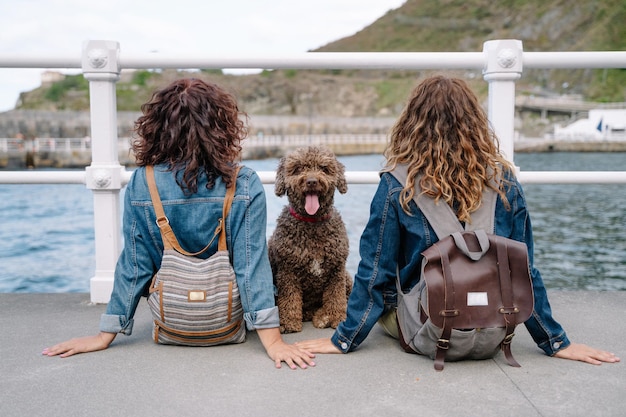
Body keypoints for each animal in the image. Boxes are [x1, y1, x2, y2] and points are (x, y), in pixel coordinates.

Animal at [266, 145, 352, 334]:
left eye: (323, 168)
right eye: (298, 169)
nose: (312, 181)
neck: (312, 223)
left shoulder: (337, 270)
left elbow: (336, 297)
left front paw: (336, 318)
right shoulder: (287, 271)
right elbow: (289, 298)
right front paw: (288, 322)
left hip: (347, 277)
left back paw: (323, 316)